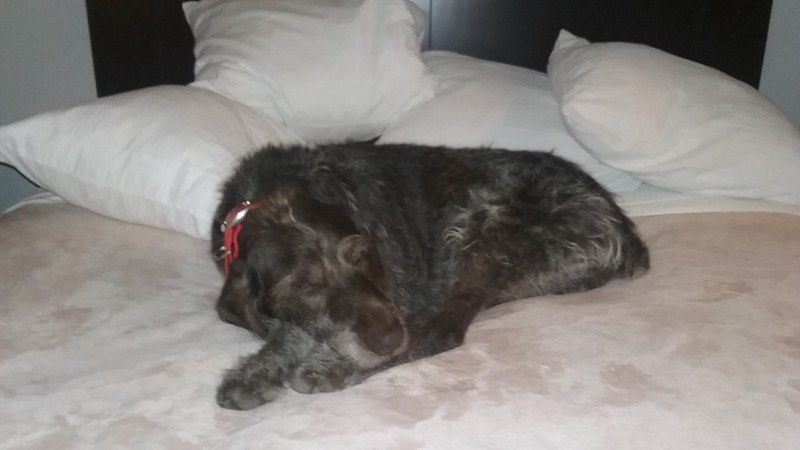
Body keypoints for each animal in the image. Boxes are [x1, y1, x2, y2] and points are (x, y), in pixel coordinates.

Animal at [210, 142, 649, 410]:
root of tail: (618, 221)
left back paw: (336, 367)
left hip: (483, 226)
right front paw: (259, 369)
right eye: (304, 284)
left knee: (440, 332)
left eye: (361, 255)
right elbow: (294, 325)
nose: (388, 339)